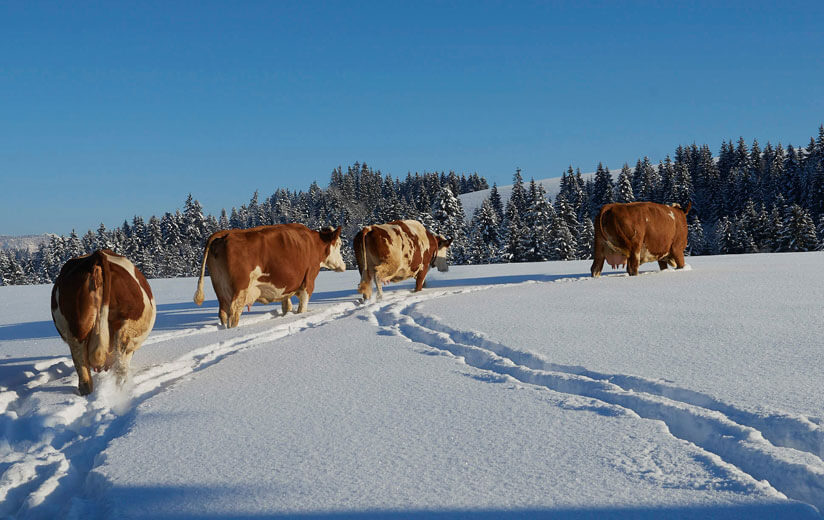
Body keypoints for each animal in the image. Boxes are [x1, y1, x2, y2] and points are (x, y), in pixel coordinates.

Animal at [193, 223, 344, 330]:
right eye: (339, 244)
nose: (344, 265)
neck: (314, 243)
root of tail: (225, 234)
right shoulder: (308, 282)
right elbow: (302, 308)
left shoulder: (286, 287)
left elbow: (286, 306)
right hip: (240, 291)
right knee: (234, 314)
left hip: (220, 289)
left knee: (223, 314)